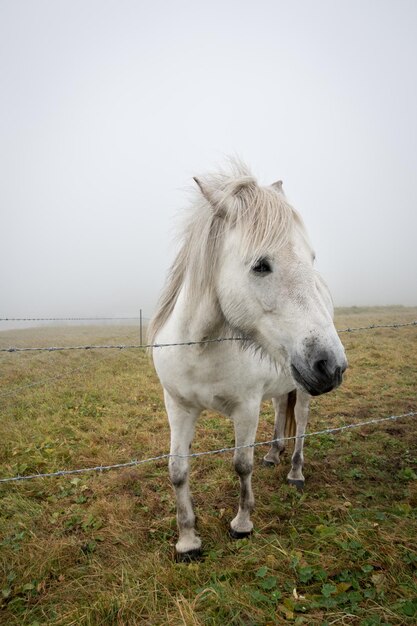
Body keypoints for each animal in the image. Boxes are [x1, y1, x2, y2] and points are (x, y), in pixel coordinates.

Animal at [148, 161, 346, 560]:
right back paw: (273, 454)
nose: (332, 365)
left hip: (303, 388)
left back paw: (295, 472)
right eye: (261, 265)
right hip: (283, 383)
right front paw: (187, 540)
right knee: (281, 413)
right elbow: (177, 470)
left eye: (311, 258)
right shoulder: (177, 406)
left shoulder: (246, 408)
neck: (201, 348)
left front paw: (242, 524)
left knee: (301, 423)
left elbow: (241, 465)